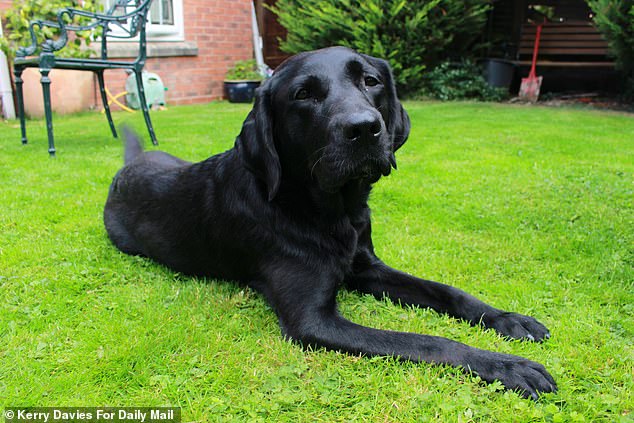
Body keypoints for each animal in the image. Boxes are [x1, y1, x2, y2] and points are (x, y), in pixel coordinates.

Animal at [103, 47, 552, 400]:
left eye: (371, 81)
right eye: (303, 94)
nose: (365, 128)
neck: (333, 212)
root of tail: (129, 165)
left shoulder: (367, 268)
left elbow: (448, 292)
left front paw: (509, 320)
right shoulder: (312, 320)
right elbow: (426, 341)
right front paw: (507, 366)